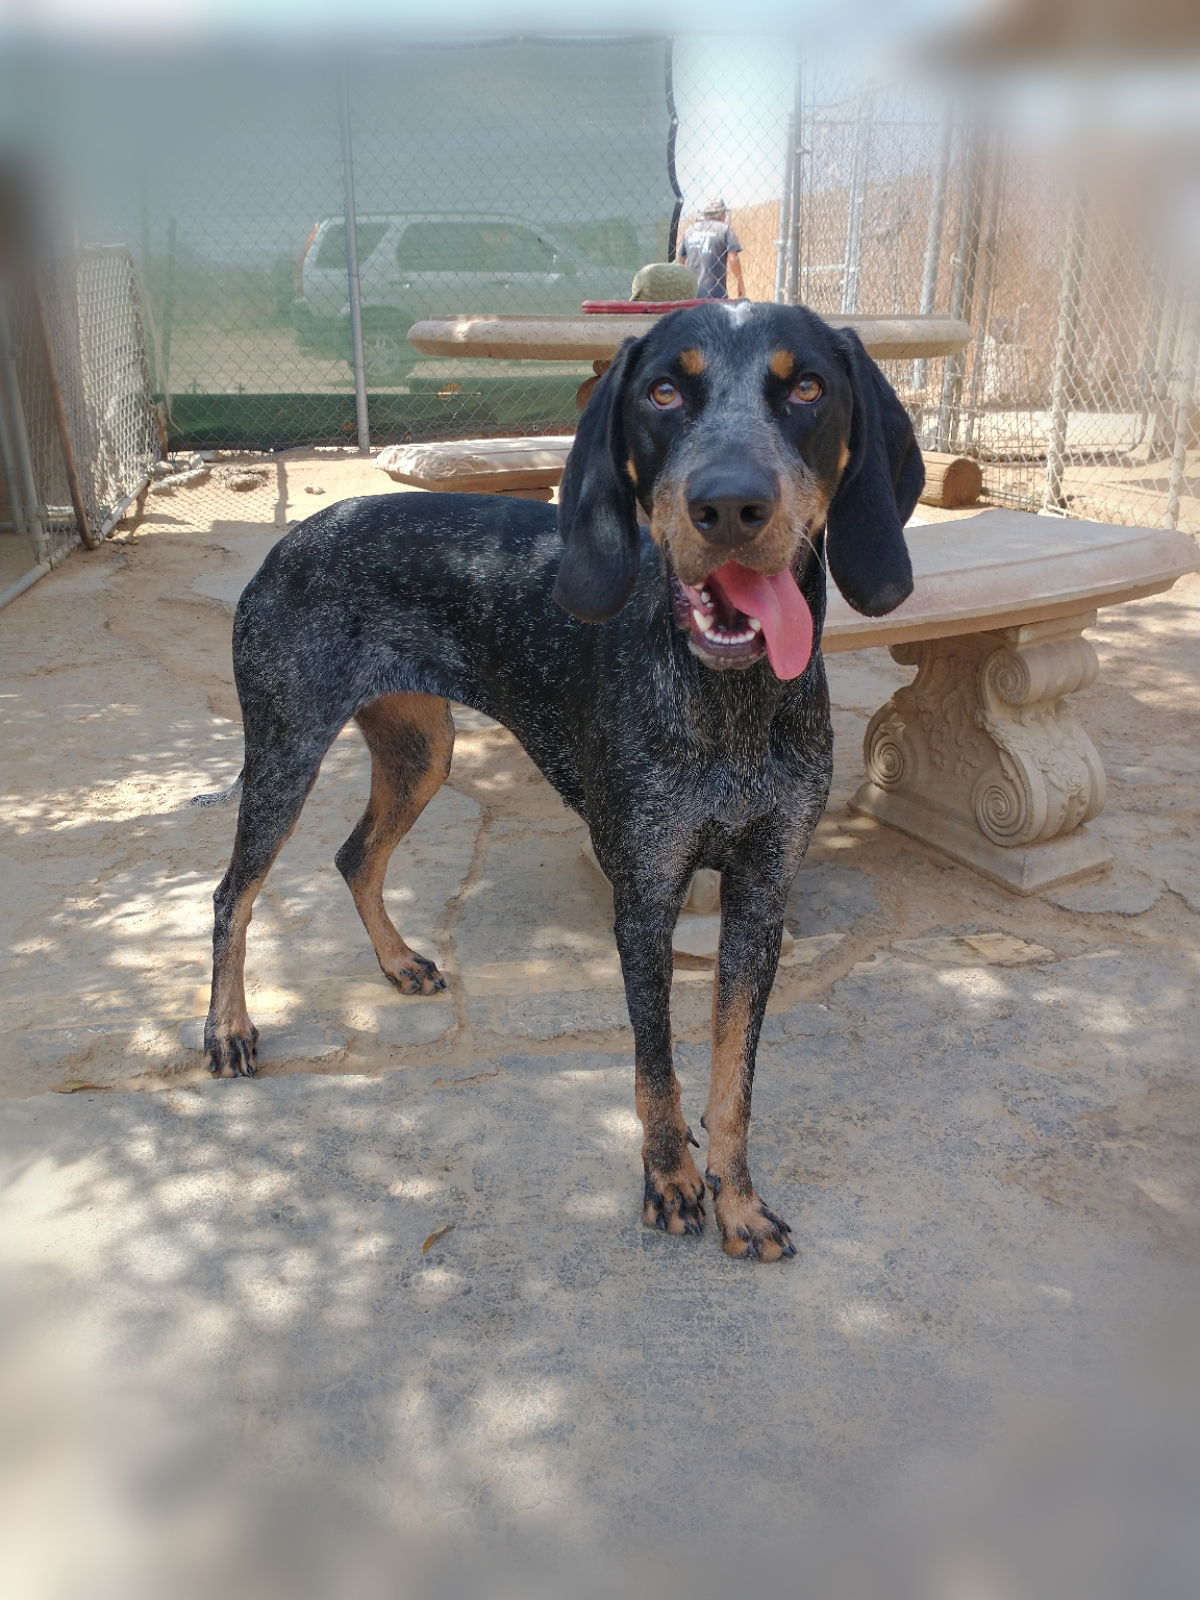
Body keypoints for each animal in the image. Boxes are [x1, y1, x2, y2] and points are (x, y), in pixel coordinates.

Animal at [202, 300, 928, 1260]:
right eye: (663, 391)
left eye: (808, 387)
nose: (731, 506)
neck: (727, 696)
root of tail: (292, 538)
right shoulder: (644, 897)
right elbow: (657, 1070)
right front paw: (670, 1185)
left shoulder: (762, 895)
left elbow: (733, 1080)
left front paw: (737, 1202)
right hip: (285, 753)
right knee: (233, 894)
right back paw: (227, 1029)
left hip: (420, 752)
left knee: (355, 857)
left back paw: (396, 964)